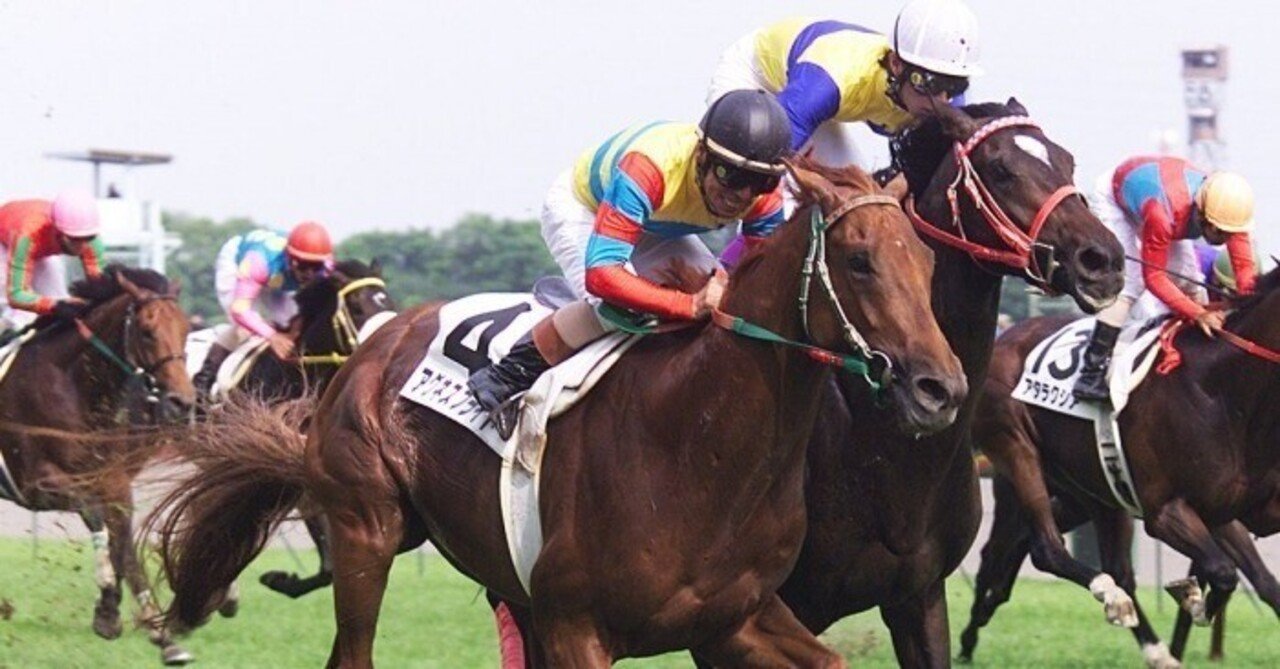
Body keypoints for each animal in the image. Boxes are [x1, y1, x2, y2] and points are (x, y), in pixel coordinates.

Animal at [0, 266, 196, 666]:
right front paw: (107, 606)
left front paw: (161, 634)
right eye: (147, 331)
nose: (182, 403)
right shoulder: (36, 484)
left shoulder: (113, 480)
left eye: (186, 329)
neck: (72, 387)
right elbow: (96, 519)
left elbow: (125, 543)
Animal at [150, 158, 968, 668]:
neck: (697, 445)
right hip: (365, 528)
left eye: (929, 262)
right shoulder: (579, 626)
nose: (943, 389)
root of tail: (375, 345)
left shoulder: (734, 619)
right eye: (859, 260)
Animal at [965, 266, 1280, 666]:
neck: (1223, 391)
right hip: (1015, 448)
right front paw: (1191, 598)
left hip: (1091, 492)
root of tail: (1004, 339)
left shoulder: (1230, 511)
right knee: (1047, 549)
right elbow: (1223, 572)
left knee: (1054, 550)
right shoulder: (1166, 512)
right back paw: (1116, 606)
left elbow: (1262, 581)